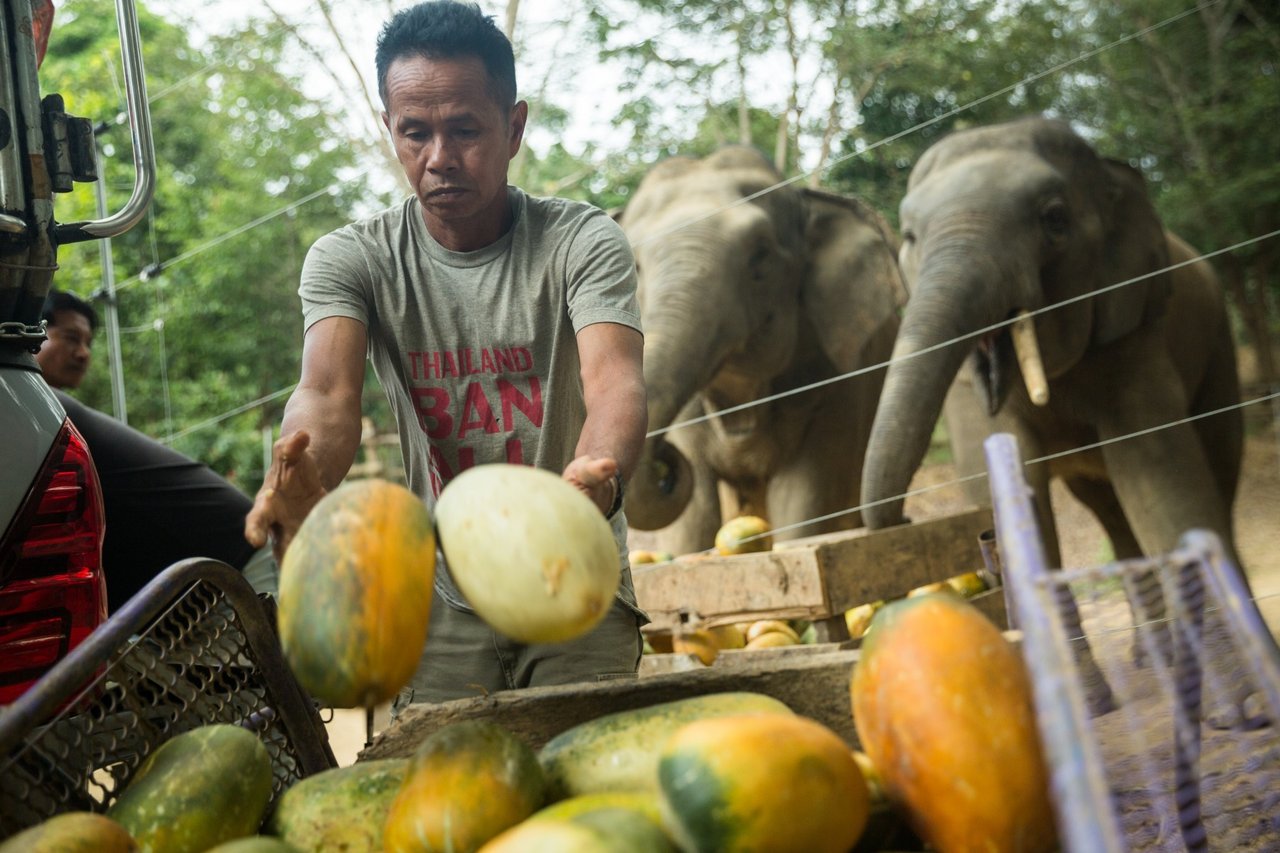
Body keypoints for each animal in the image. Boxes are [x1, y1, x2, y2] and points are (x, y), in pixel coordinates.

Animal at [616, 144, 901, 558]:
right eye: (633, 266)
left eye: (760, 256)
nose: (664, 465)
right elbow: (694, 521)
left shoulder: (837, 382)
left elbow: (804, 503)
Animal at [860, 114, 1239, 571]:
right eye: (910, 237)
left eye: (1055, 219)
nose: (903, 519)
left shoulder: (1135, 333)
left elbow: (1163, 492)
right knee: (1108, 506)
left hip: (1219, 343)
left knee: (1220, 460)